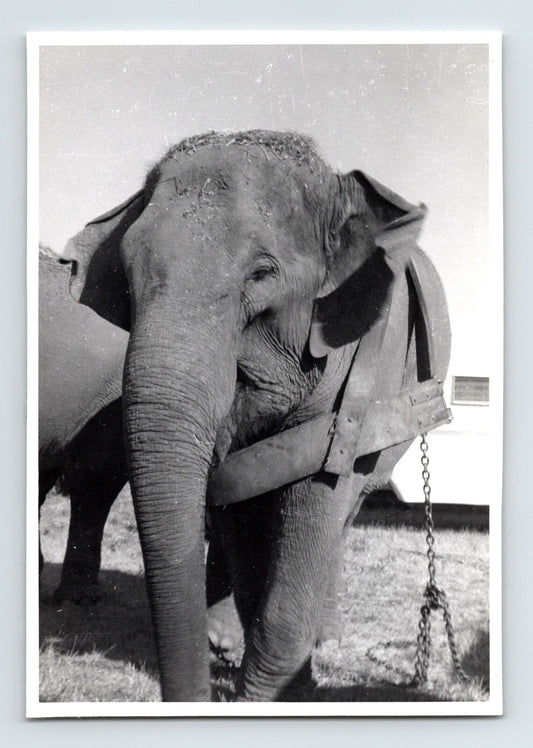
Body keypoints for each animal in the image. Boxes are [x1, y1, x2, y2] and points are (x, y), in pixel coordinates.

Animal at [63, 129, 451, 701]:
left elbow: (315, 499)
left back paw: (324, 637)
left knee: (345, 514)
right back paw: (224, 641)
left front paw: (286, 690)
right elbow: (238, 493)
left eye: (262, 275)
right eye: (127, 283)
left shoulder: (362, 371)